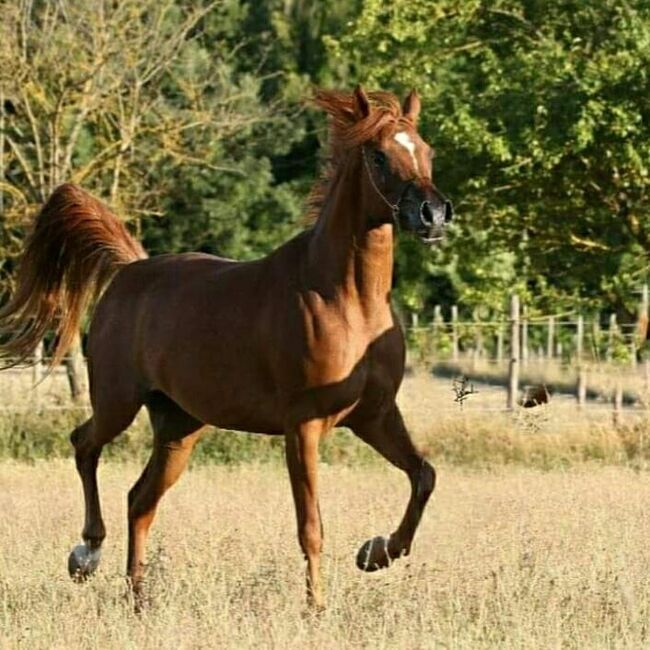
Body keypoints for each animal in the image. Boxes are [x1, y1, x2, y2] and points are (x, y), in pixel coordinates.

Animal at [0, 87, 450, 608]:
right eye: (378, 155)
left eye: (427, 151)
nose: (434, 215)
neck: (344, 299)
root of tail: (129, 269)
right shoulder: (303, 426)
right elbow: (311, 526)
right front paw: (316, 608)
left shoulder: (374, 416)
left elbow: (424, 476)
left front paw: (375, 553)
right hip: (117, 403)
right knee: (84, 445)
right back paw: (86, 554)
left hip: (179, 427)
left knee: (139, 500)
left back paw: (138, 598)